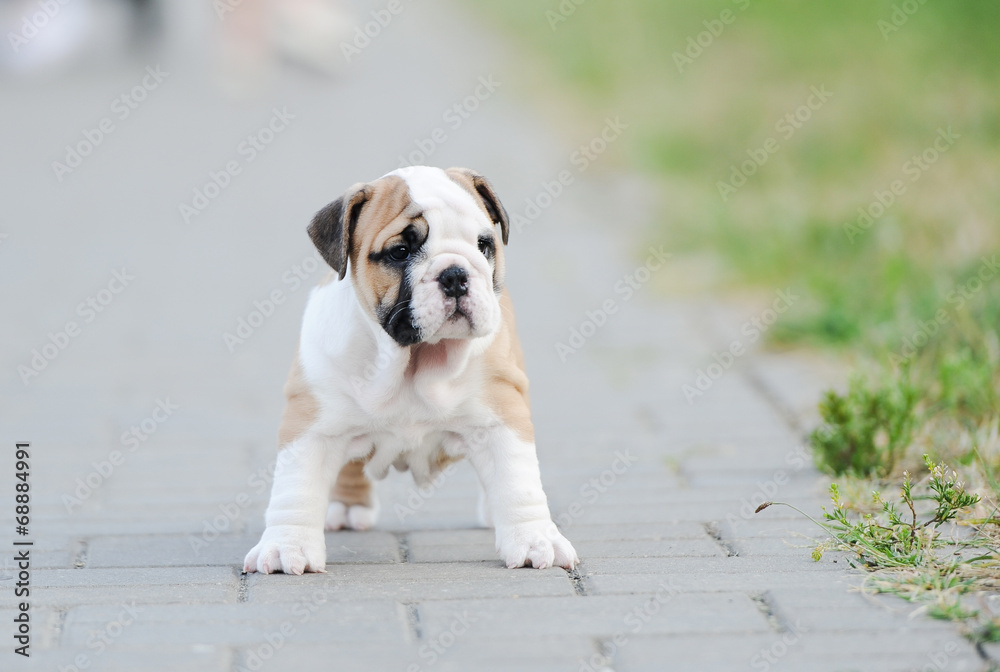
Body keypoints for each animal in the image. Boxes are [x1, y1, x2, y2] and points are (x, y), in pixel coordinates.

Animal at [243, 165, 584, 576]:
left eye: (484, 245)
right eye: (401, 252)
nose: (455, 273)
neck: (416, 359)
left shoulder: (502, 418)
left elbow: (519, 482)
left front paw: (536, 539)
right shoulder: (311, 426)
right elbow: (295, 489)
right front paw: (286, 547)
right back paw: (347, 507)